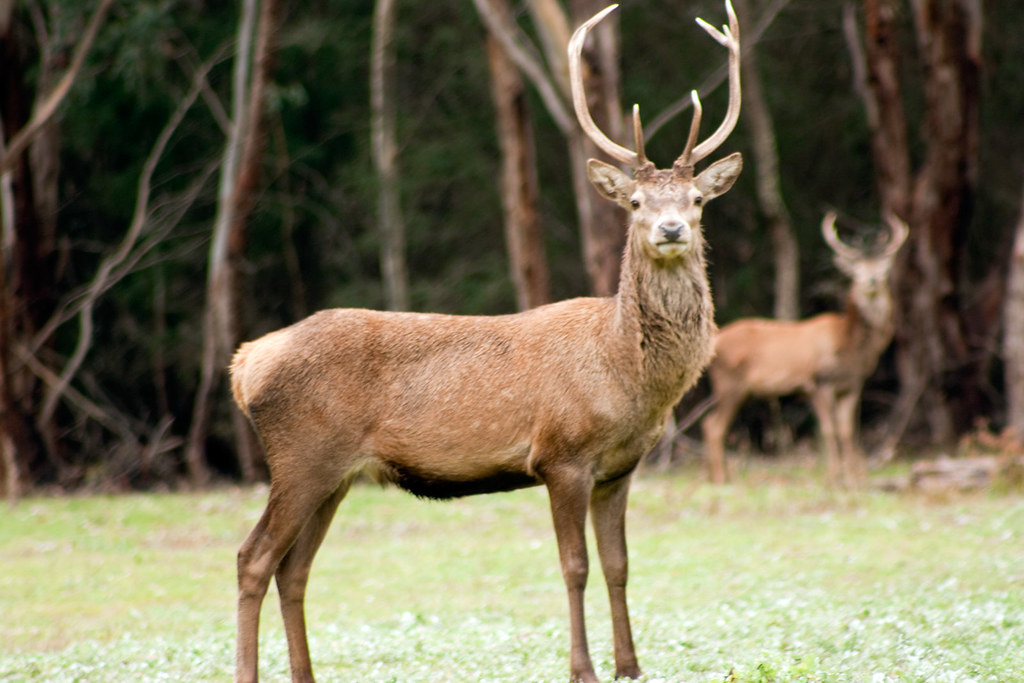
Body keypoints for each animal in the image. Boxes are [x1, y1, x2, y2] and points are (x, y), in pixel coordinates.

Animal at [230, 3, 741, 682]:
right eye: (635, 201)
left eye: (698, 198)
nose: (671, 228)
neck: (626, 374)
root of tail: (245, 363)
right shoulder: (561, 455)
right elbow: (574, 566)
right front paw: (583, 668)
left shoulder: (620, 468)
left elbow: (620, 565)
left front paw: (630, 665)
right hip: (300, 455)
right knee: (253, 558)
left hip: (332, 472)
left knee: (295, 569)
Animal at [701, 211, 908, 487]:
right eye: (856, 272)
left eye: (884, 269)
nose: (871, 281)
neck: (850, 345)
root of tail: (714, 341)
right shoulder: (819, 382)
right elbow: (829, 430)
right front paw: (834, 474)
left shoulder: (852, 385)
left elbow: (848, 430)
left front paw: (856, 474)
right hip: (729, 382)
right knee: (713, 427)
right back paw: (721, 478)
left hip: (739, 389)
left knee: (710, 424)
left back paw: (719, 475)